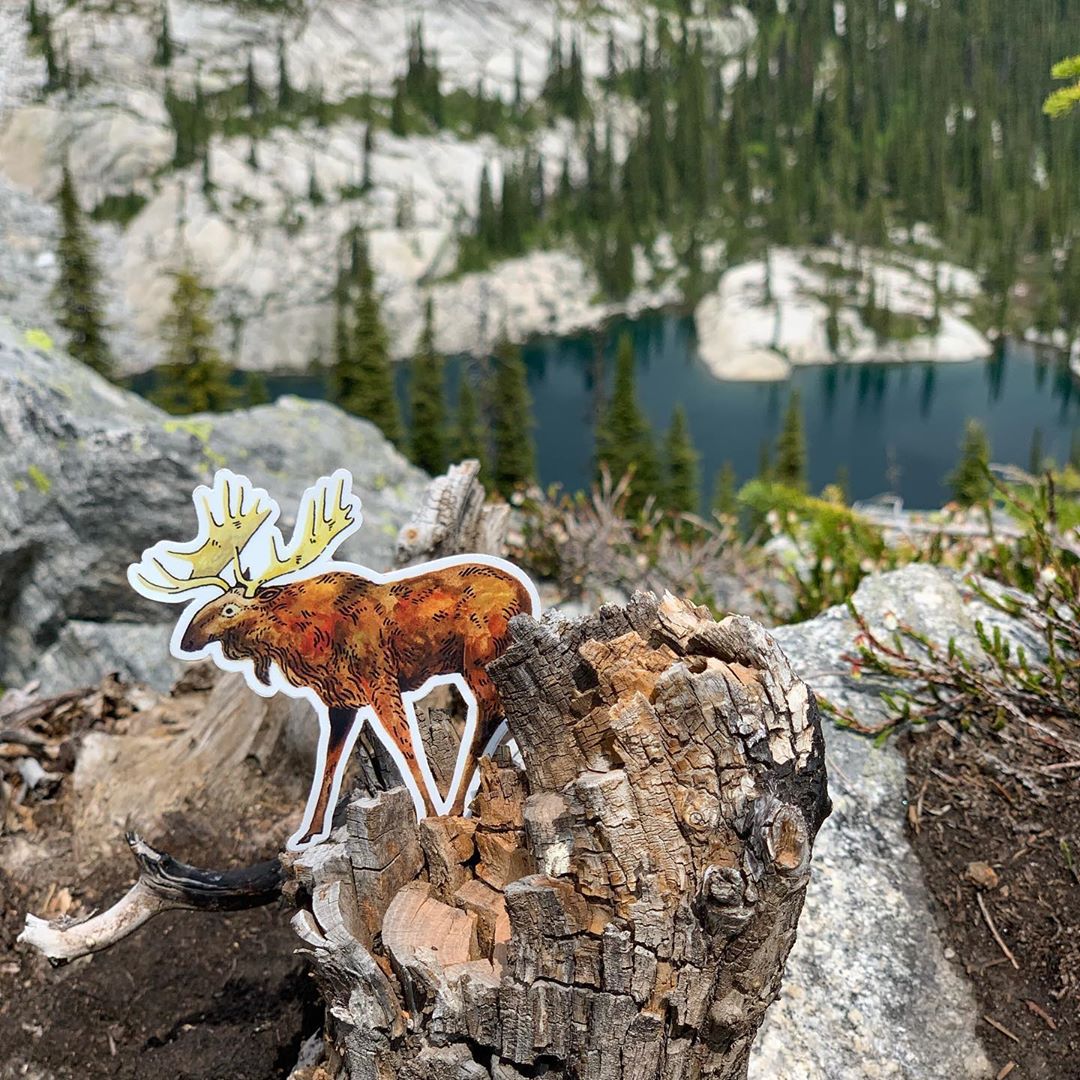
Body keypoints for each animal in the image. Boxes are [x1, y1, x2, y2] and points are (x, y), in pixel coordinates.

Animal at [128, 469, 540, 850]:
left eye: (229, 608)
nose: (185, 637)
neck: (299, 641)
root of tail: (527, 594)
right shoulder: (338, 701)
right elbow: (329, 764)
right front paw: (310, 832)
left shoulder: (381, 683)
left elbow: (407, 749)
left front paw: (430, 814)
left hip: (479, 660)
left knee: (488, 715)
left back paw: (454, 806)